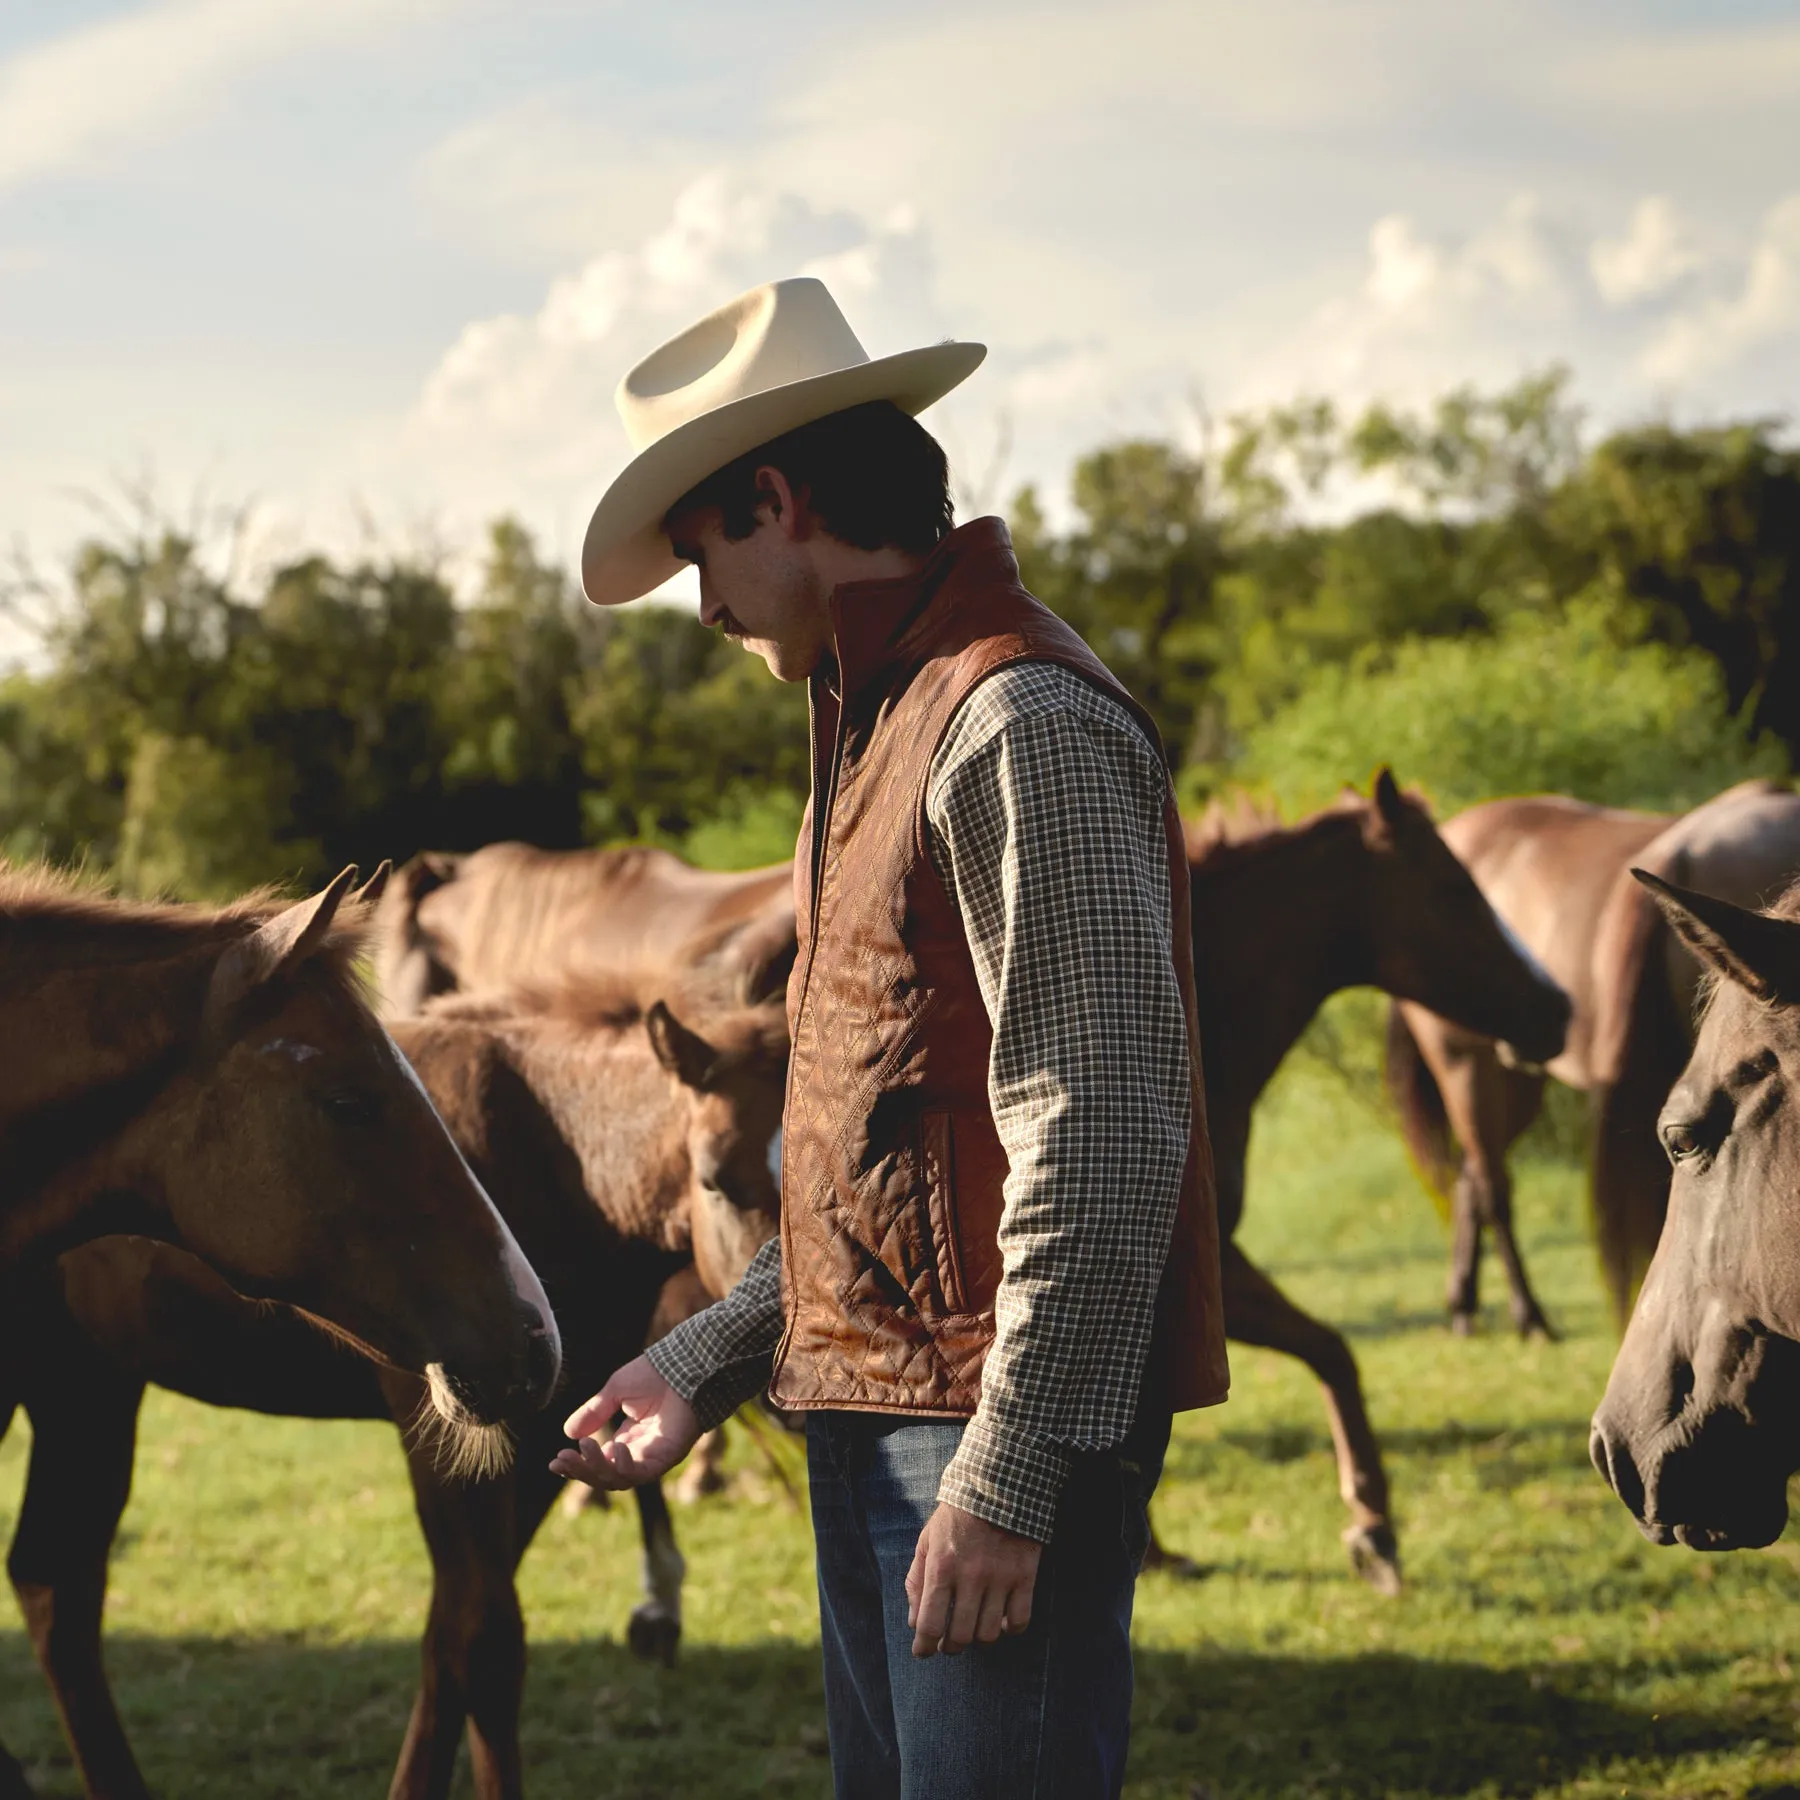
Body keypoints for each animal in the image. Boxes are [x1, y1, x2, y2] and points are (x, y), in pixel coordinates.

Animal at [0, 972, 788, 1800]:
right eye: (715, 1180)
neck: (551, 1152)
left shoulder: (543, 1430)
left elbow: (461, 1637)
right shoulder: (443, 1422)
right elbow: (480, 1640)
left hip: (84, 1388)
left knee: (54, 1582)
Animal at [1382, 777, 1792, 1339]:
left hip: (1518, 1078)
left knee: (1474, 1177)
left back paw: (1466, 1307)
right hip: (1465, 1064)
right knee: (1491, 1185)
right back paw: (1528, 1316)